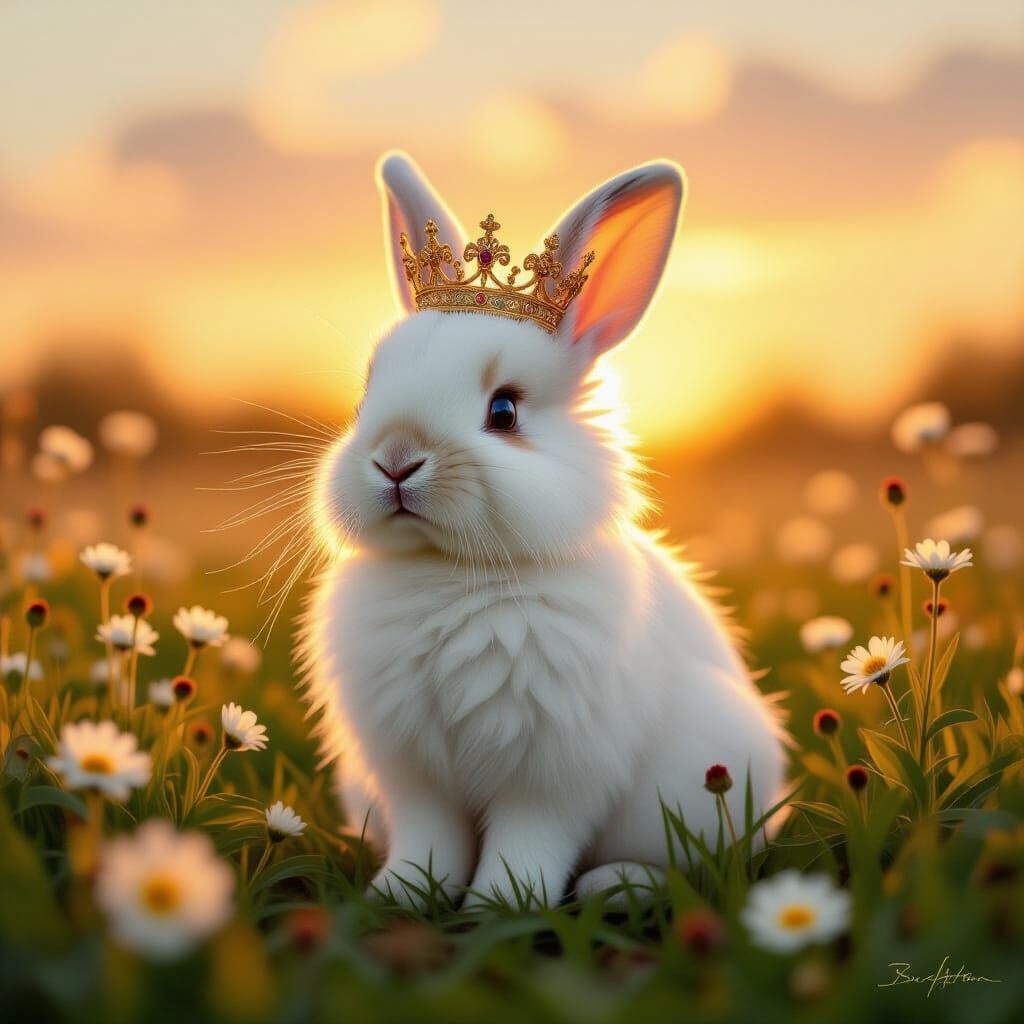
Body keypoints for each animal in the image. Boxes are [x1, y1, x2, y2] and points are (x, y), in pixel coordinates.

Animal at [299, 151, 787, 909]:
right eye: (364, 396)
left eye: (504, 411)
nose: (396, 459)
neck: (452, 571)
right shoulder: (414, 772)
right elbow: (428, 839)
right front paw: (401, 896)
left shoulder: (553, 775)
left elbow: (529, 841)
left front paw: (501, 904)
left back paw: (617, 886)